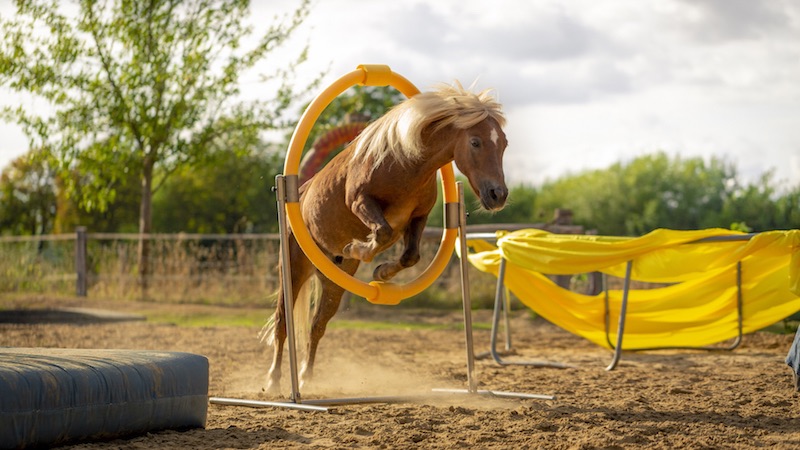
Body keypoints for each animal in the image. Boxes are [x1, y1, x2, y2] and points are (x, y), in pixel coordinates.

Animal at [262, 82, 509, 395]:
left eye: (504, 143)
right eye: (476, 142)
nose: (498, 195)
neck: (404, 165)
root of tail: (300, 191)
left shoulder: (417, 218)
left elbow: (409, 254)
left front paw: (381, 271)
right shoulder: (361, 202)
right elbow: (382, 232)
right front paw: (358, 249)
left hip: (332, 284)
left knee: (317, 325)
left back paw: (306, 376)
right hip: (293, 270)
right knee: (282, 323)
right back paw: (274, 381)